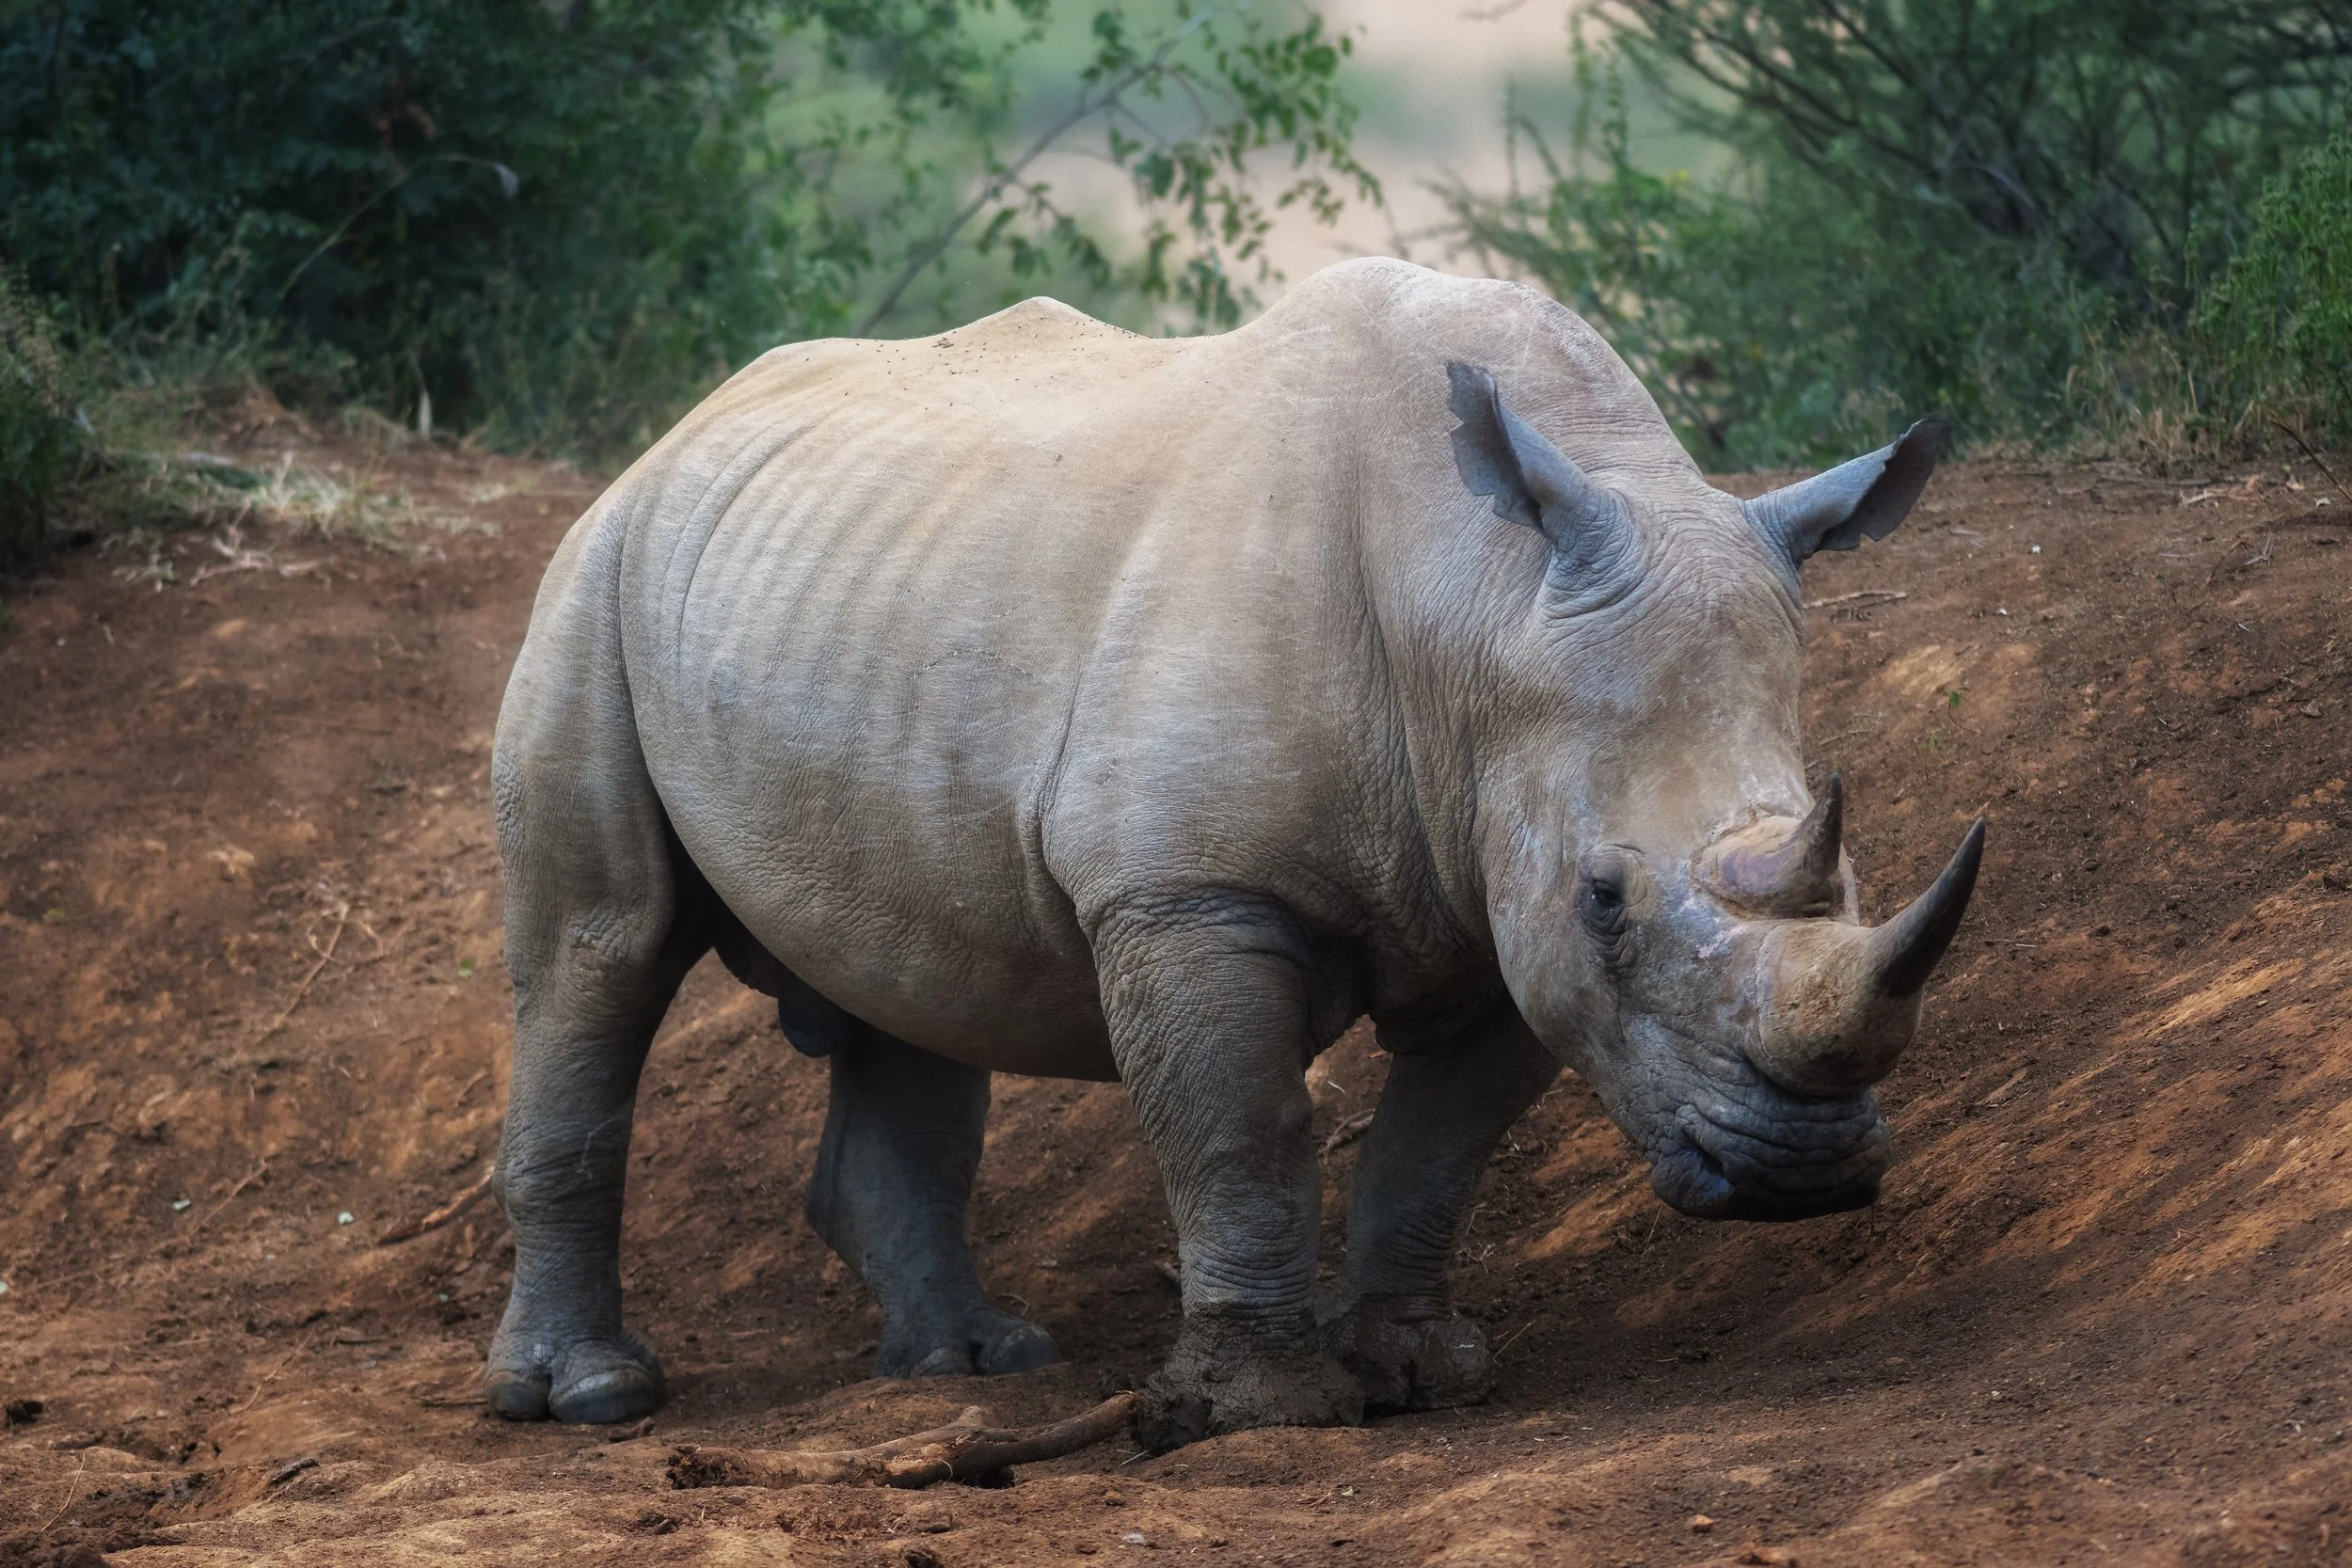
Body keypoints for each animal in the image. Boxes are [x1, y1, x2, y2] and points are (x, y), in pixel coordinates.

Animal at [485, 258, 1982, 1445]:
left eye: (1854, 880)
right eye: (1609, 899)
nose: (1805, 1174)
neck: (1480, 603)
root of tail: (680, 430)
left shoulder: (1503, 901)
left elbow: (1439, 1144)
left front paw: (1418, 1371)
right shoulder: (1194, 889)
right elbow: (1242, 1125)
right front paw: (1263, 1410)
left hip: (847, 591)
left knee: (908, 978)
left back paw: (974, 1363)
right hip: (596, 575)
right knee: (597, 950)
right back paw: (589, 1399)